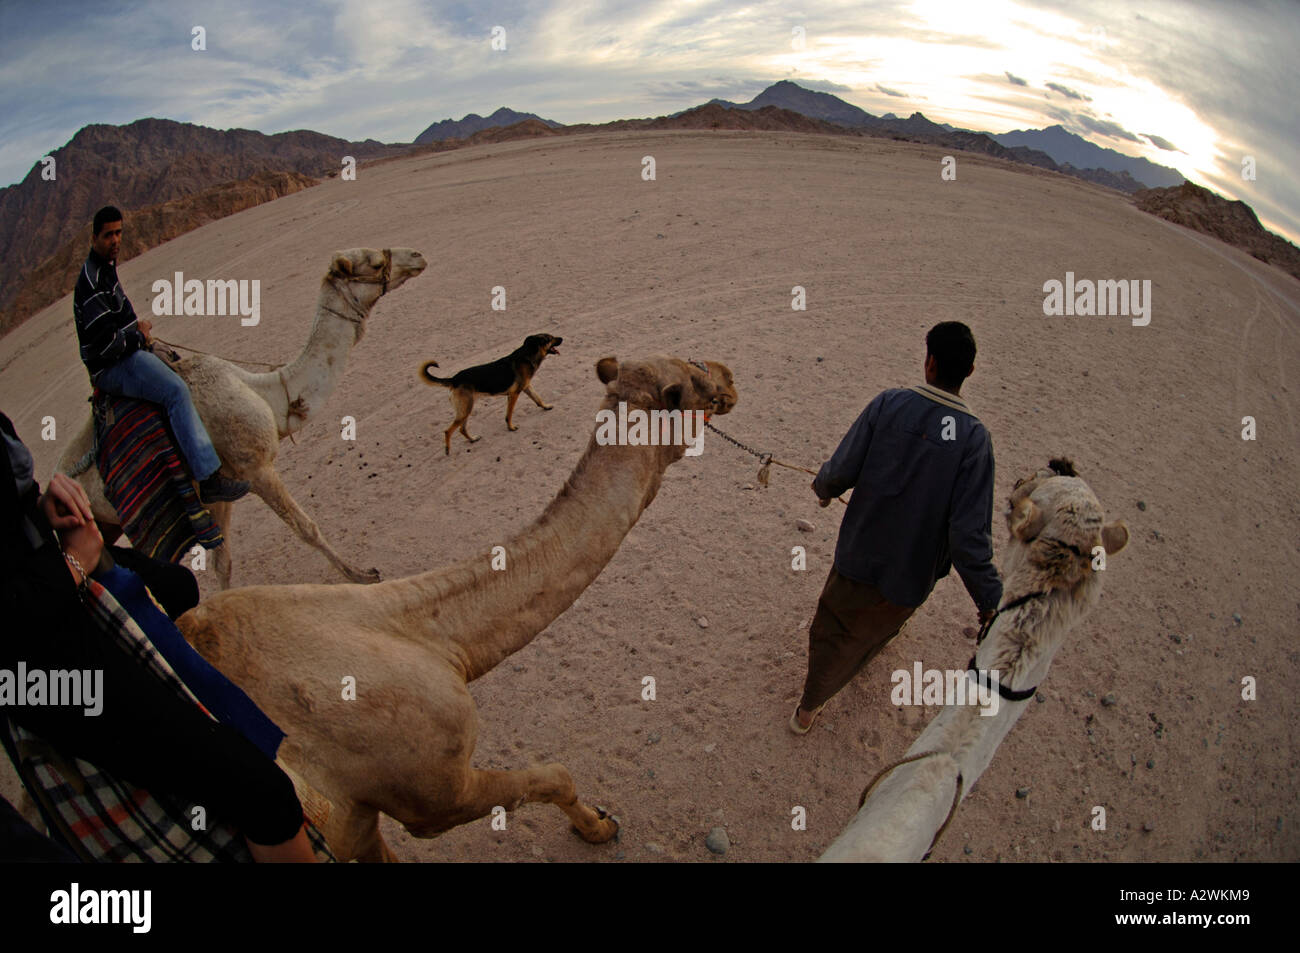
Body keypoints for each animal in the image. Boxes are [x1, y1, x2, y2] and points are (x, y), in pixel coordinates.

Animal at [57, 245, 426, 587]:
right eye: (374, 263)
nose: (417, 256)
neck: (267, 395)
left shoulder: (223, 489)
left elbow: (223, 562)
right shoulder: (256, 469)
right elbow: (306, 528)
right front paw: (361, 575)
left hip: (106, 524)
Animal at [175, 353, 743, 858]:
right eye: (695, 374)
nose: (730, 376)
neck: (433, 640)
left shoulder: (359, 824)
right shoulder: (433, 795)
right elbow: (553, 775)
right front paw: (599, 827)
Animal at [416, 335, 559, 452]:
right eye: (549, 338)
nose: (561, 338)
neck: (528, 354)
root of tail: (454, 379)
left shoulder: (526, 387)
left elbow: (537, 398)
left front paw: (546, 407)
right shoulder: (514, 394)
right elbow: (509, 415)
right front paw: (511, 427)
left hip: (466, 409)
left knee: (462, 429)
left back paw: (473, 439)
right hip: (465, 410)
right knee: (448, 431)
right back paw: (447, 450)